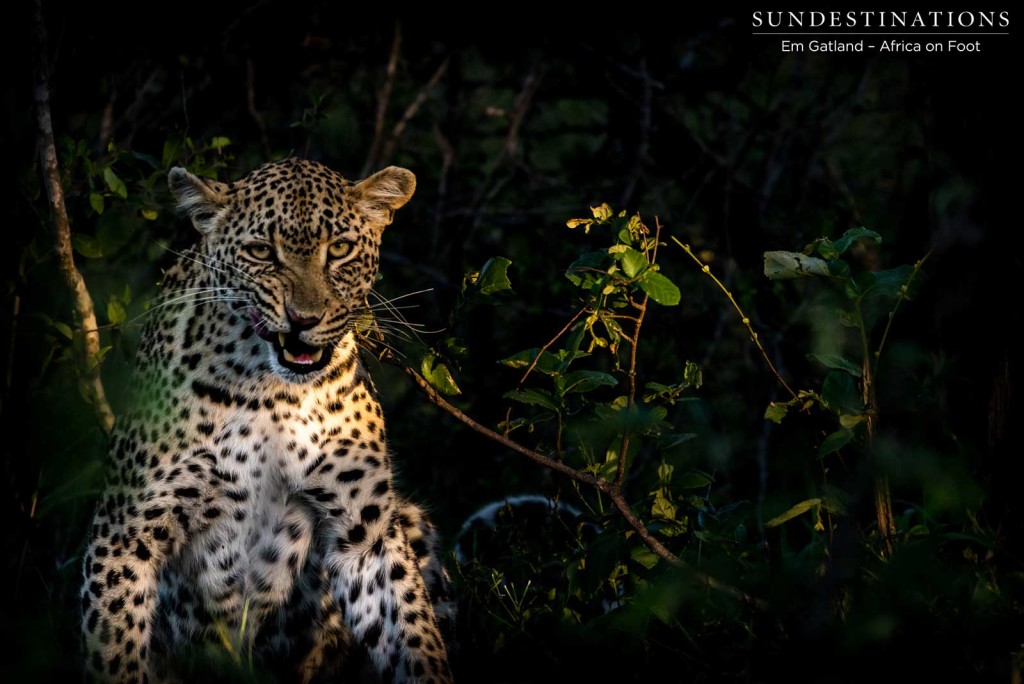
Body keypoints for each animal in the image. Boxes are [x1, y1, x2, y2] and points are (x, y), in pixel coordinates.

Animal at [74, 157, 452, 679]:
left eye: (340, 249)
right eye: (260, 252)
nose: (304, 319)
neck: (274, 394)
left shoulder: (366, 532)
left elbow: (413, 632)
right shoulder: (125, 534)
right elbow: (116, 650)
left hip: (411, 518)